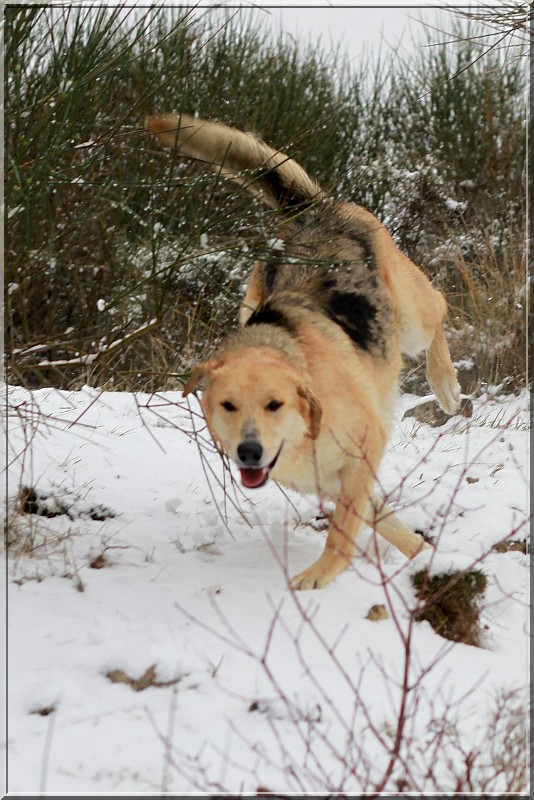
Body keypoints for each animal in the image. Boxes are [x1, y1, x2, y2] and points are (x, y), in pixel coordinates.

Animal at [144, 112, 462, 588]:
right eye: (227, 405)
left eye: (274, 404)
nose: (249, 452)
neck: (307, 427)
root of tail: (313, 210)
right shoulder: (331, 478)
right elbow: (383, 520)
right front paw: (424, 556)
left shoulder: (364, 447)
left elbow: (343, 530)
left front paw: (318, 576)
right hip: (252, 301)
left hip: (411, 320)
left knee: (439, 309)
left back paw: (446, 387)